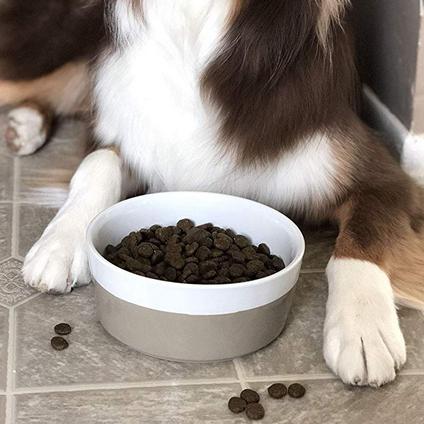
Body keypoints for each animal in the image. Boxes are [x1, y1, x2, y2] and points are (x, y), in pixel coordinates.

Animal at [0, 0, 424, 390]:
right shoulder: (128, 127)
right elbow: (95, 167)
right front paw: (60, 243)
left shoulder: (377, 174)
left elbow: (360, 243)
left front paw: (363, 328)